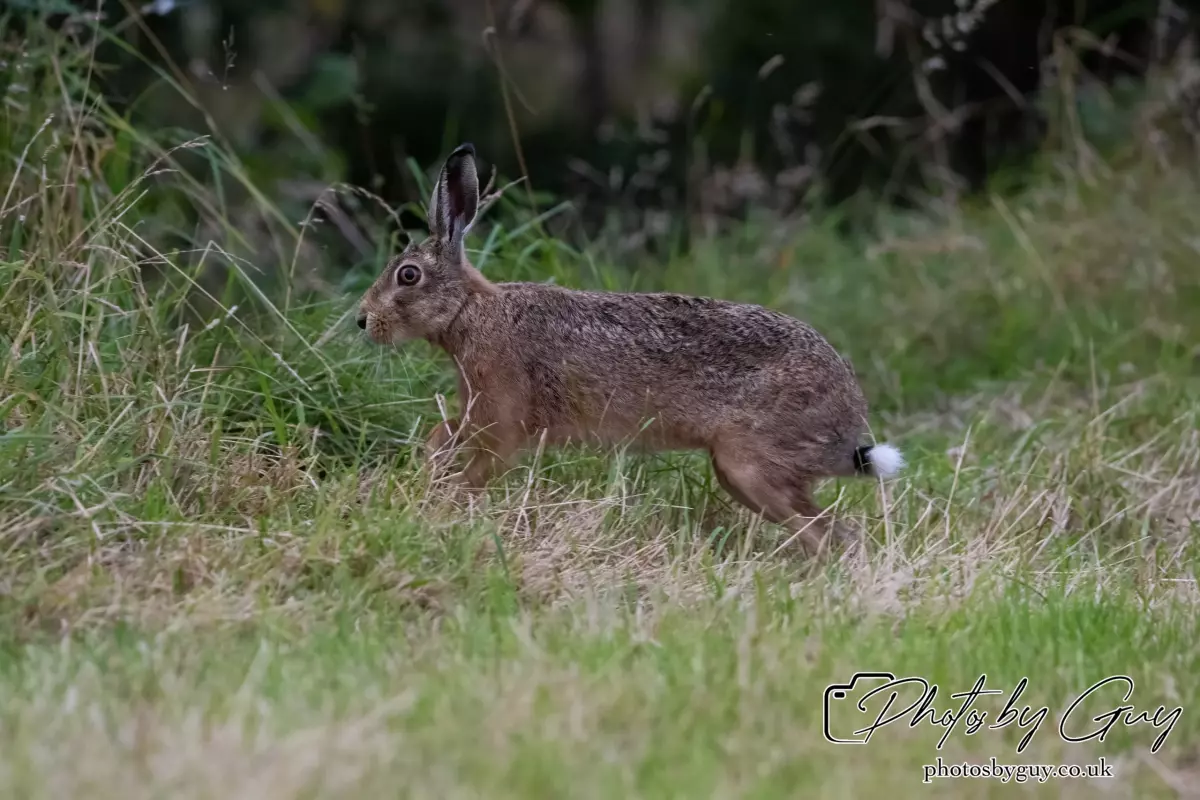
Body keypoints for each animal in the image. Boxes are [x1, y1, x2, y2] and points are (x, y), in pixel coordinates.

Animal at [356, 143, 904, 555]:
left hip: (754, 465)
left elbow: (476, 466)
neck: (471, 312)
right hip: (738, 473)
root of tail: (850, 417)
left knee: (835, 535)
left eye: (408, 276)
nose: (364, 320)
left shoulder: (501, 422)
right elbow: (441, 435)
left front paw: (443, 506)